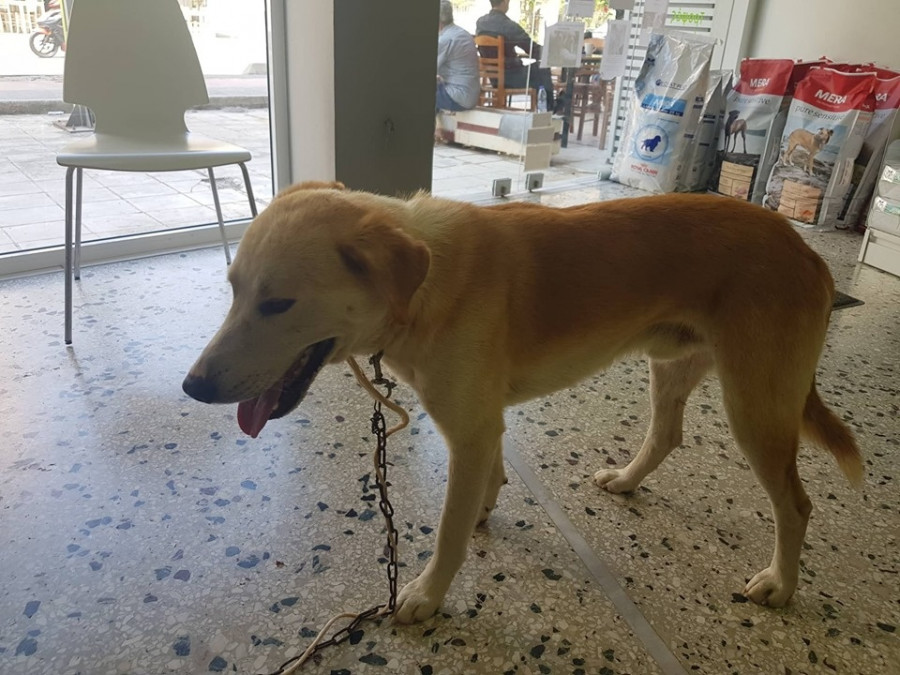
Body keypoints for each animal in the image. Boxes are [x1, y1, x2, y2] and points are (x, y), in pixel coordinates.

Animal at [183, 184, 862, 624]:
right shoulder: (483, 421)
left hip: (755, 407)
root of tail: (805, 250)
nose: (194, 387)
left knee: (796, 505)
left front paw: (427, 594)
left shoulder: (469, 430)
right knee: (667, 436)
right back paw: (627, 479)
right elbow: (490, 478)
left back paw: (781, 583)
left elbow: (450, 531)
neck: (425, 285)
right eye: (233, 290)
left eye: (278, 304)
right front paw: (485, 508)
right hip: (672, 368)